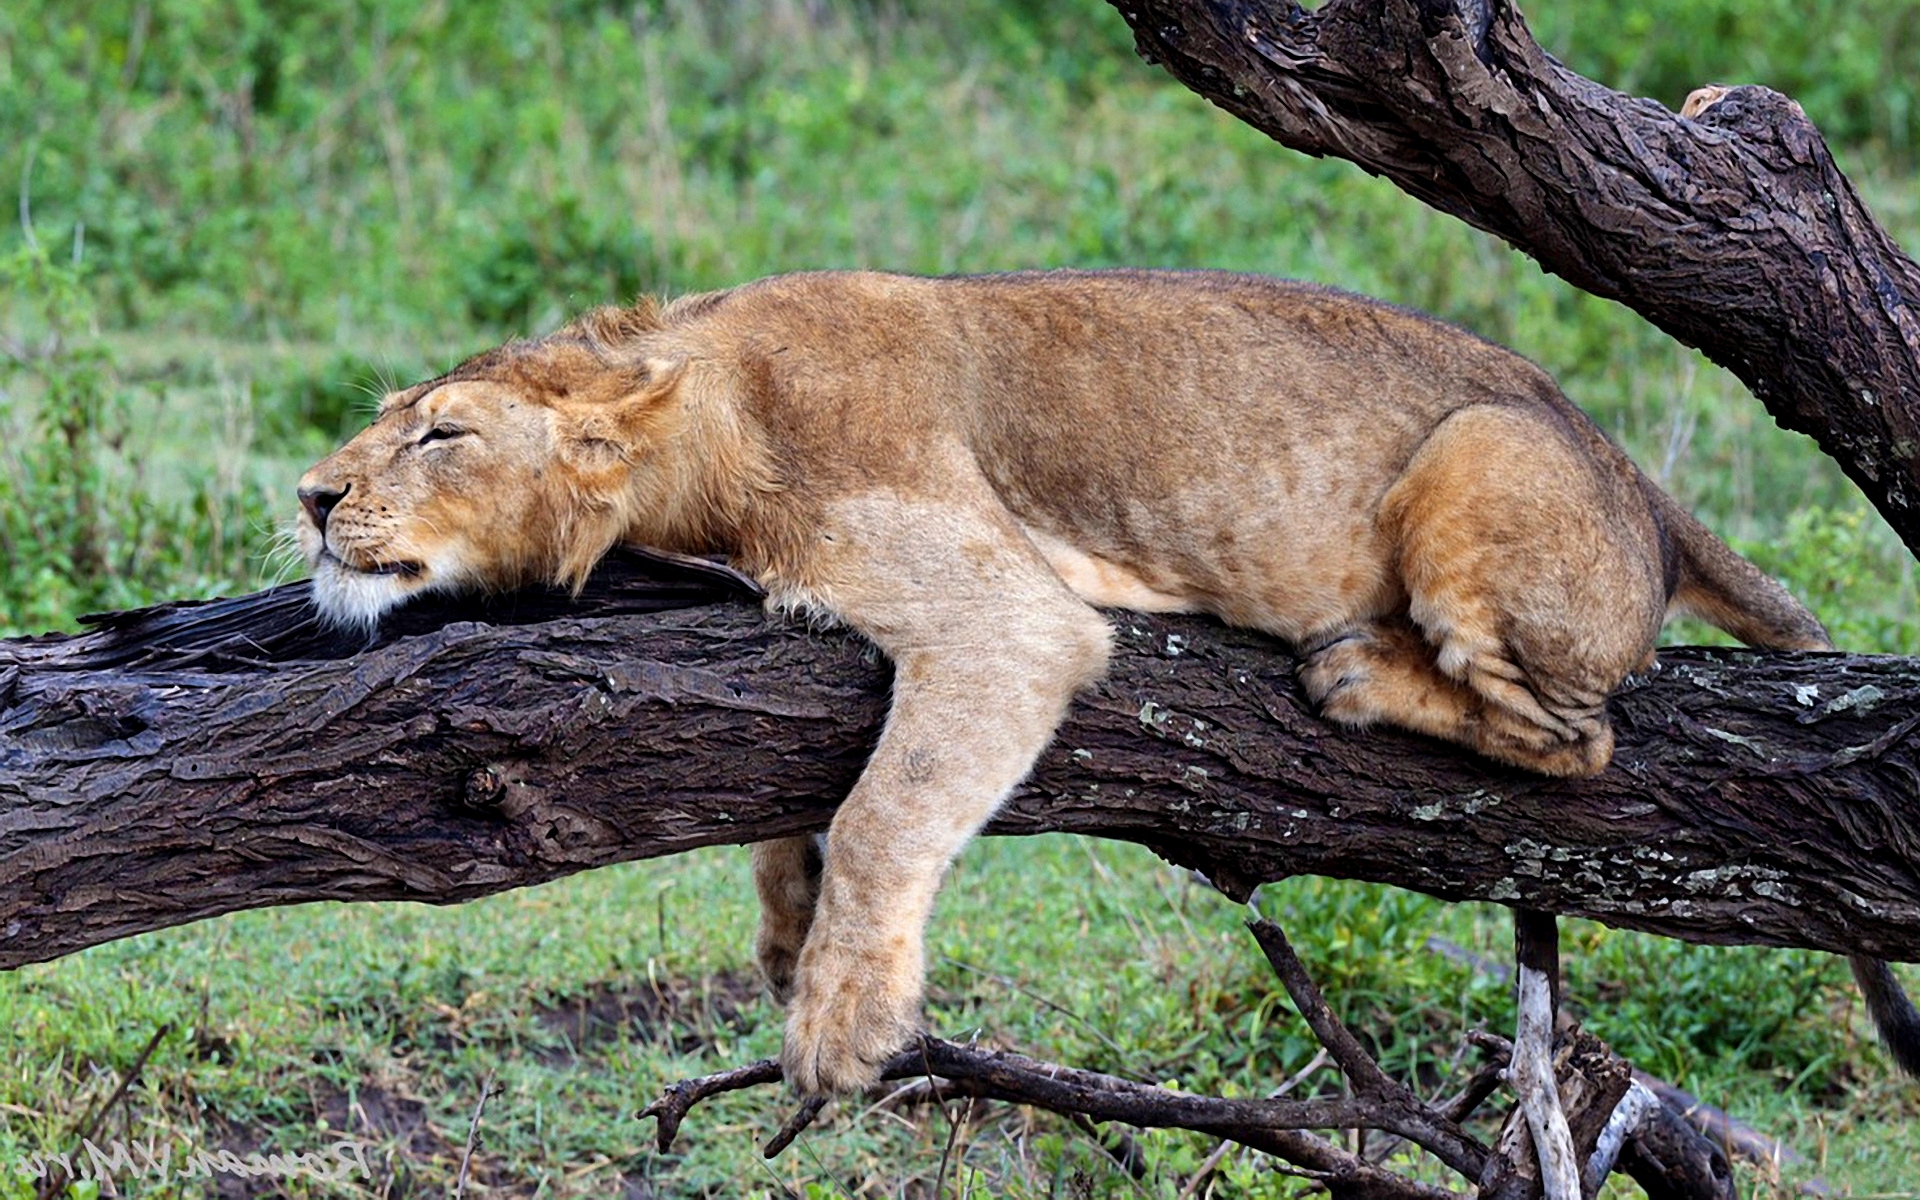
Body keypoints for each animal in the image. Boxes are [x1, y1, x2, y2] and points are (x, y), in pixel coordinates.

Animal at [291, 270, 1912, 1098]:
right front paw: (786, 932)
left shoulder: (1009, 616)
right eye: (385, 424)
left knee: (1578, 741)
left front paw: (840, 1020)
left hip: (1477, 455)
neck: (698, 432)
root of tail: (1637, 479)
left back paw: (1358, 674)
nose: (309, 497)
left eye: (440, 434)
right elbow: (798, 809)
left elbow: (887, 812)